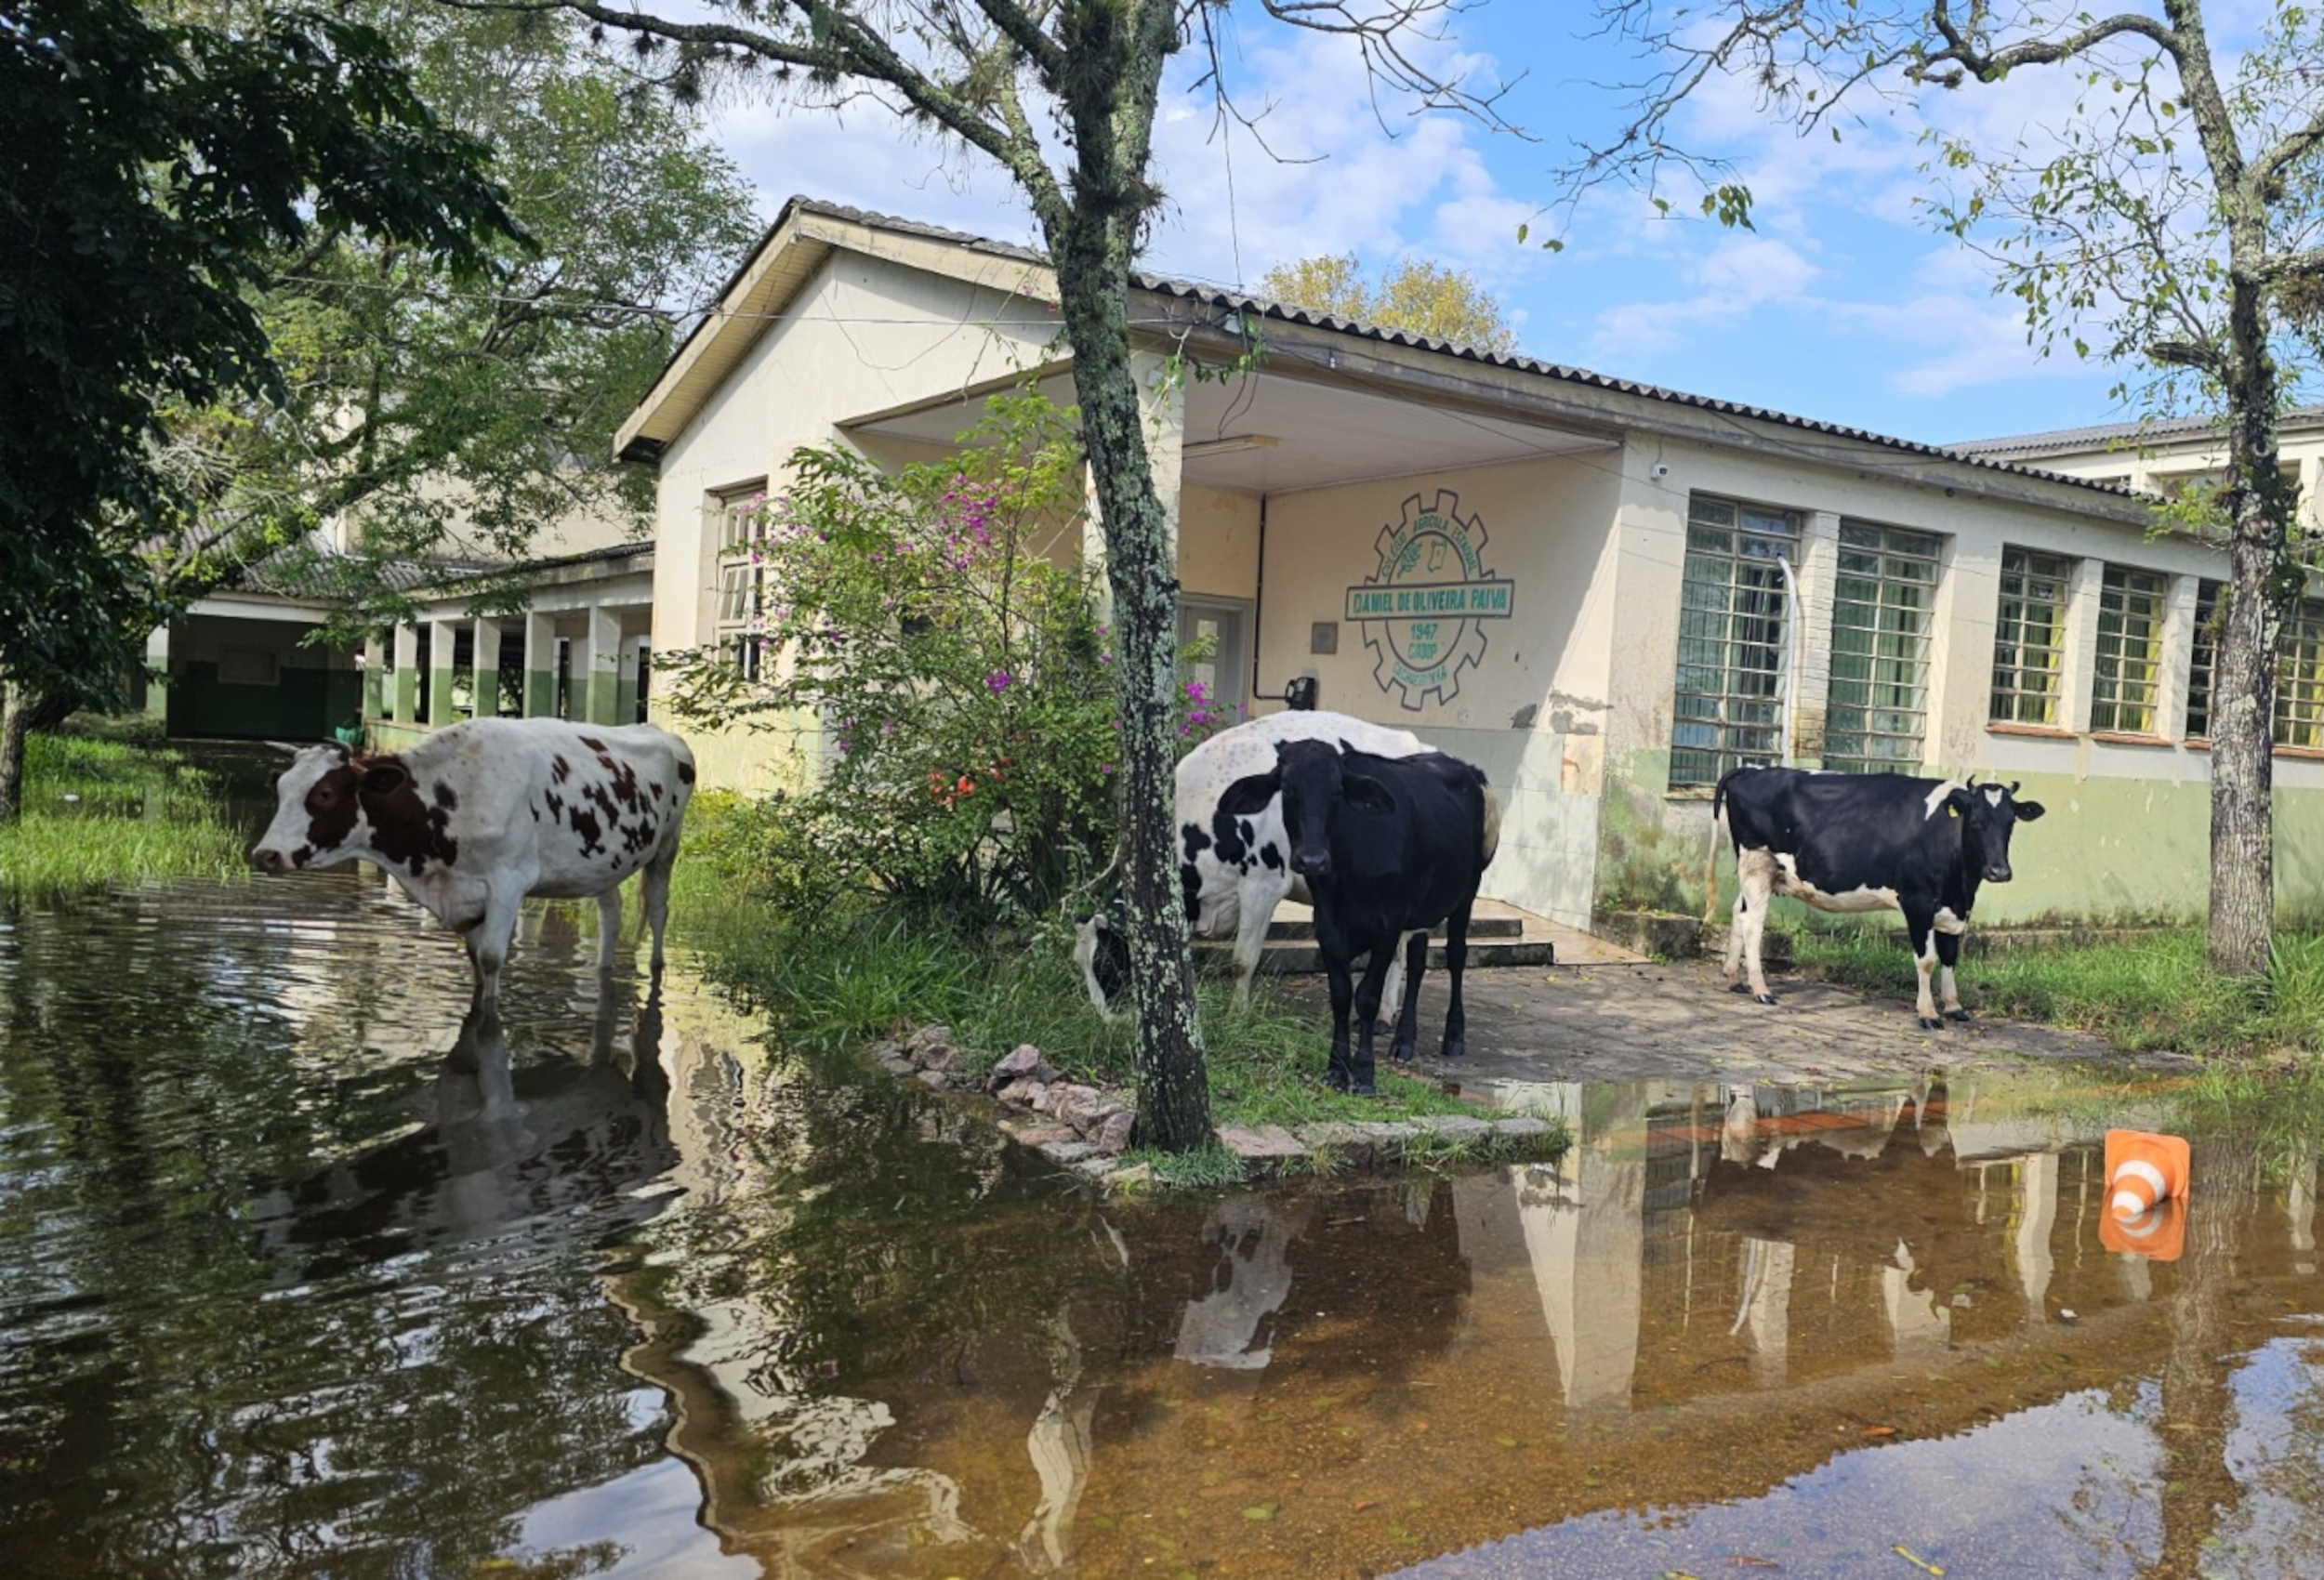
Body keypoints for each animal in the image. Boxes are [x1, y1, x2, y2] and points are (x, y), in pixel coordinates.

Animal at [254, 720, 693, 1013]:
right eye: (280, 789)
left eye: (325, 793)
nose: (265, 855)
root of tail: (660, 730)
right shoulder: (464, 895)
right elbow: (474, 958)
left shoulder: (508, 883)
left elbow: (492, 958)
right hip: (604, 862)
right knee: (610, 914)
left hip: (666, 847)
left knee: (658, 909)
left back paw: (656, 966)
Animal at [1255, 734, 1487, 1092]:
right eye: (1289, 789)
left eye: (1337, 792)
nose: (1312, 860)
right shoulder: (1326, 926)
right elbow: (1340, 995)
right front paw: (1336, 1070)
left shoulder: (1387, 925)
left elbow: (1367, 996)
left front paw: (1364, 1074)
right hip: (1421, 911)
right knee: (1417, 965)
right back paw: (1404, 1041)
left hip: (1466, 893)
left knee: (1456, 957)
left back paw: (1454, 1035)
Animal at [1710, 767, 2054, 1036]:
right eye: (1975, 821)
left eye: (2010, 822)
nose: (1999, 871)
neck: (1961, 884)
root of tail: (1751, 769)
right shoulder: (1917, 901)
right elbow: (1927, 959)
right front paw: (1928, 1013)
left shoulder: (1954, 907)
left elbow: (1950, 955)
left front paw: (1954, 1006)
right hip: (1757, 863)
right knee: (1753, 924)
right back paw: (1761, 990)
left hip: (1759, 872)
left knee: (1738, 912)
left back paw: (1734, 978)